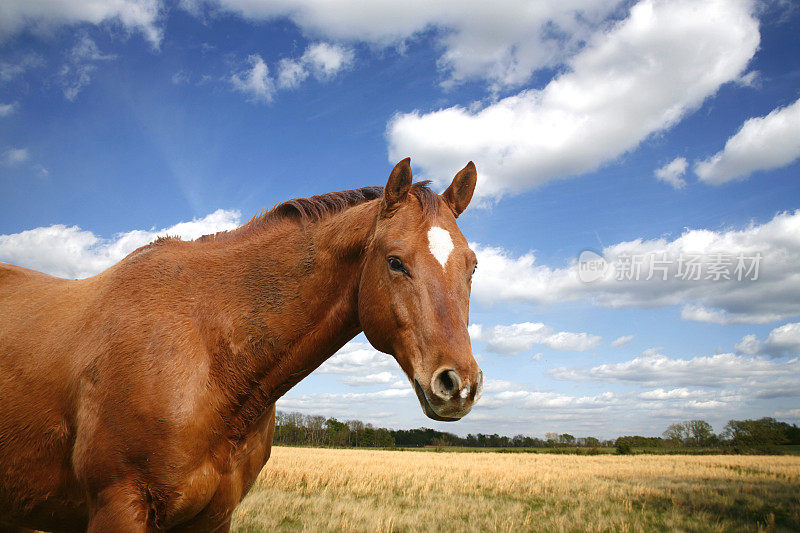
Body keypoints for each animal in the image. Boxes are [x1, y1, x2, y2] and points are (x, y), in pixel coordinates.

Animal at [0, 159, 482, 532]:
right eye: (395, 262)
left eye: (473, 265)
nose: (458, 384)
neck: (207, 354)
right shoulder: (118, 506)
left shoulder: (214, 516)